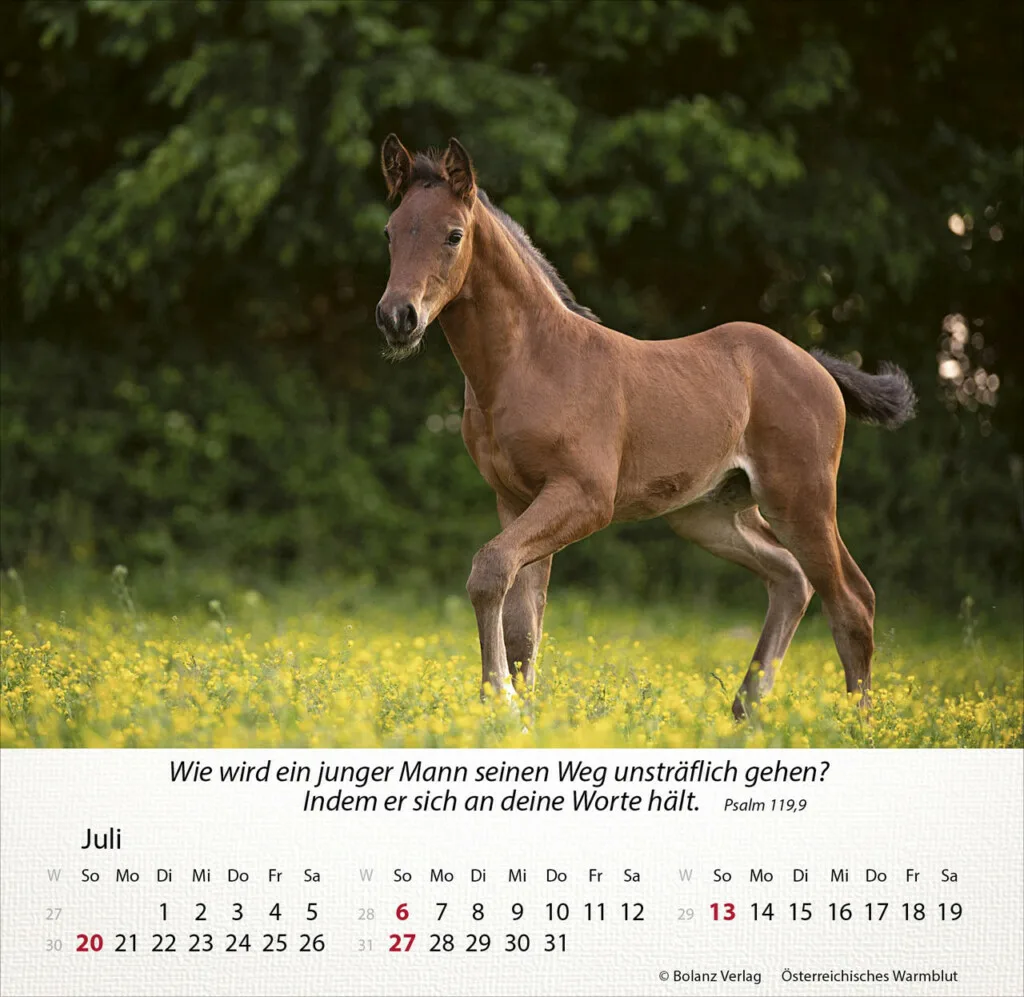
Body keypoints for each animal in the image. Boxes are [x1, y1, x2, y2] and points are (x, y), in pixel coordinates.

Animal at [374, 134, 916, 718]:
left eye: (453, 235)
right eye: (390, 231)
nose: (397, 317)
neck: (531, 362)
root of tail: (817, 366)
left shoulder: (584, 497)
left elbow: (490, 570)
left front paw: (501, 700)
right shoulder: (515, 500)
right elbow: (524, 624)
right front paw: (524, 714)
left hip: (801, 500)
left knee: (853, 601)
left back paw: (854, 726)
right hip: (709, 514)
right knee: (792, 578)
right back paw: (744, 713)